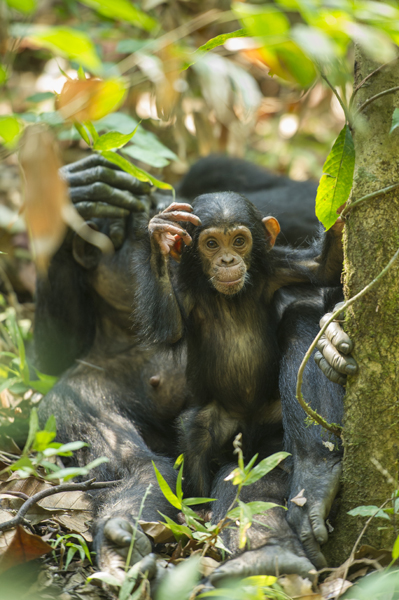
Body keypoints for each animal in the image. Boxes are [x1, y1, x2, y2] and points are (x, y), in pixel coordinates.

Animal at [134, 192, 344, 496]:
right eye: (211, 244)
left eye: (239, 241)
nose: (227, 259)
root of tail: (248, 426)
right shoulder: (184, 292)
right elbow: (170, 328)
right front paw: (160, 234)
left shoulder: (276, 268)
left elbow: (322, 268)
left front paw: (340, 211)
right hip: (222, 420)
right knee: (194, 435)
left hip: (272, 412)